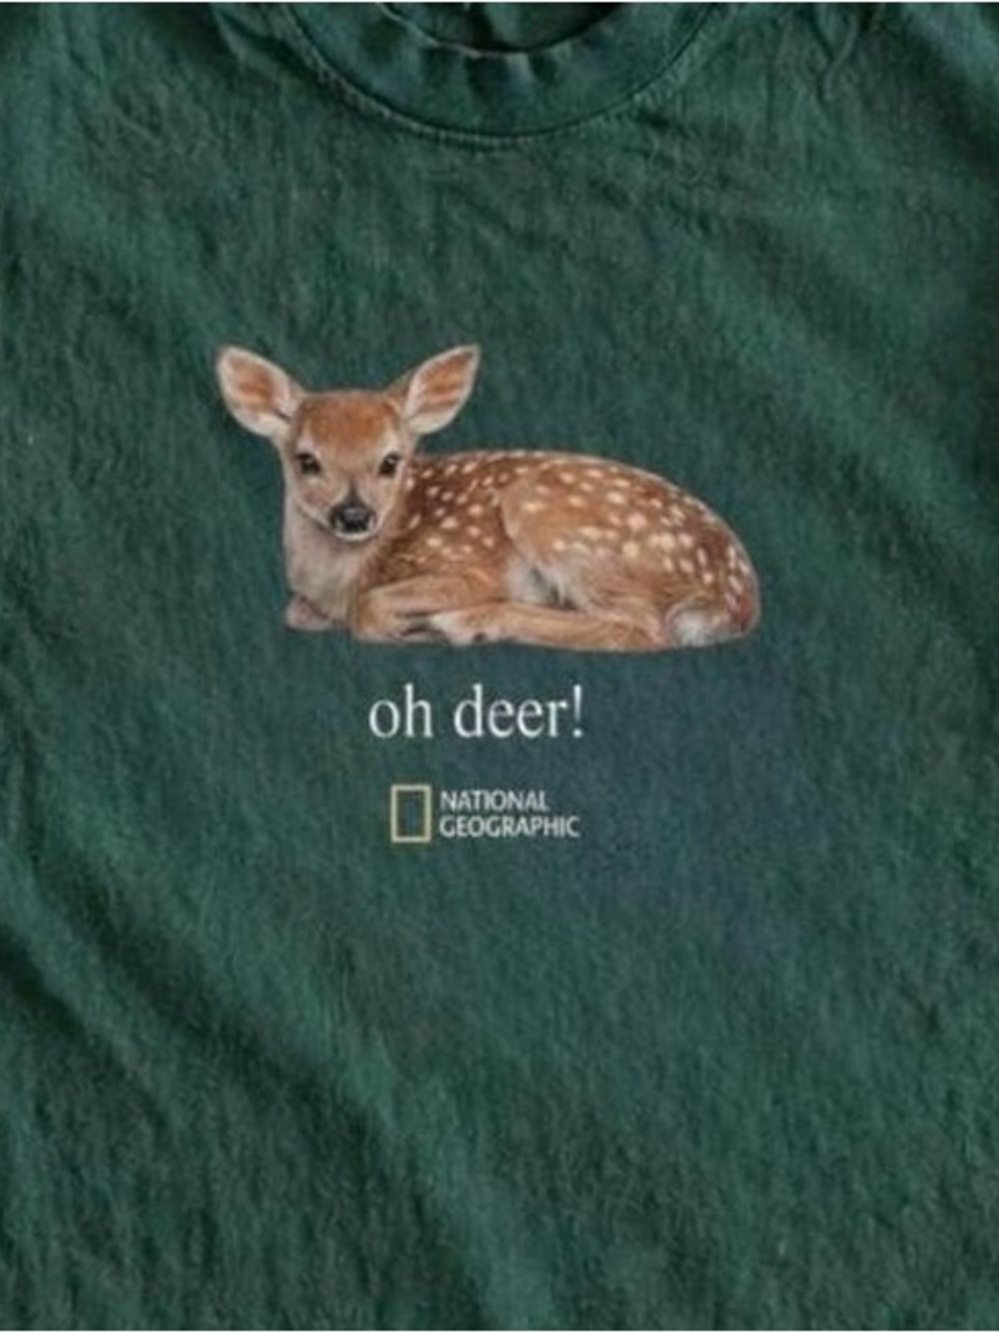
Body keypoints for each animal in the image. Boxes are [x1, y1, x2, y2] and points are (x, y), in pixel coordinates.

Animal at [215, 344, 760, 652]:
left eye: (391, 461)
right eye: (307, 460)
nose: (353, 515)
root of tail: (740, 600)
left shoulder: (468, 567)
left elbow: (367, 611)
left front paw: (411, 628)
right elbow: (295, 613)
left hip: (547, 514)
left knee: (644, 629)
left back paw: (463, 624)